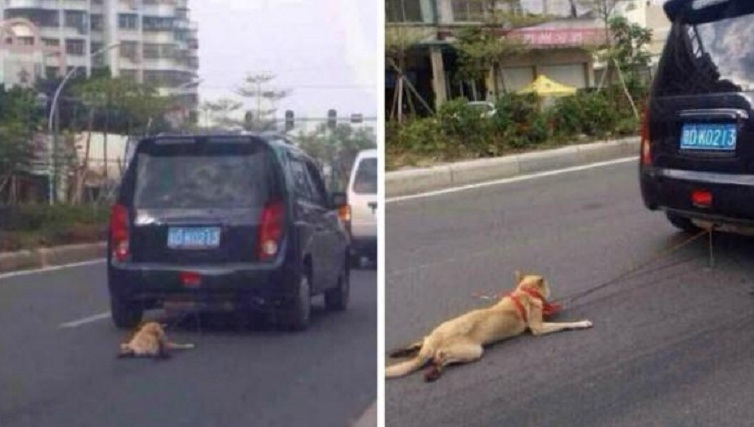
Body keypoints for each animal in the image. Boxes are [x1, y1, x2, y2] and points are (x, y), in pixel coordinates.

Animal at [384, 272, 592, 382]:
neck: (524, 292)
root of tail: (435, 341)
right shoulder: (538, 328)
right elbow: (564, 324)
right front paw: (581, 323)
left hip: (435, 335)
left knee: (422, 343)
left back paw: (402, 352)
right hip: (474, 351)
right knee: (439, 358)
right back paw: (434, 369)